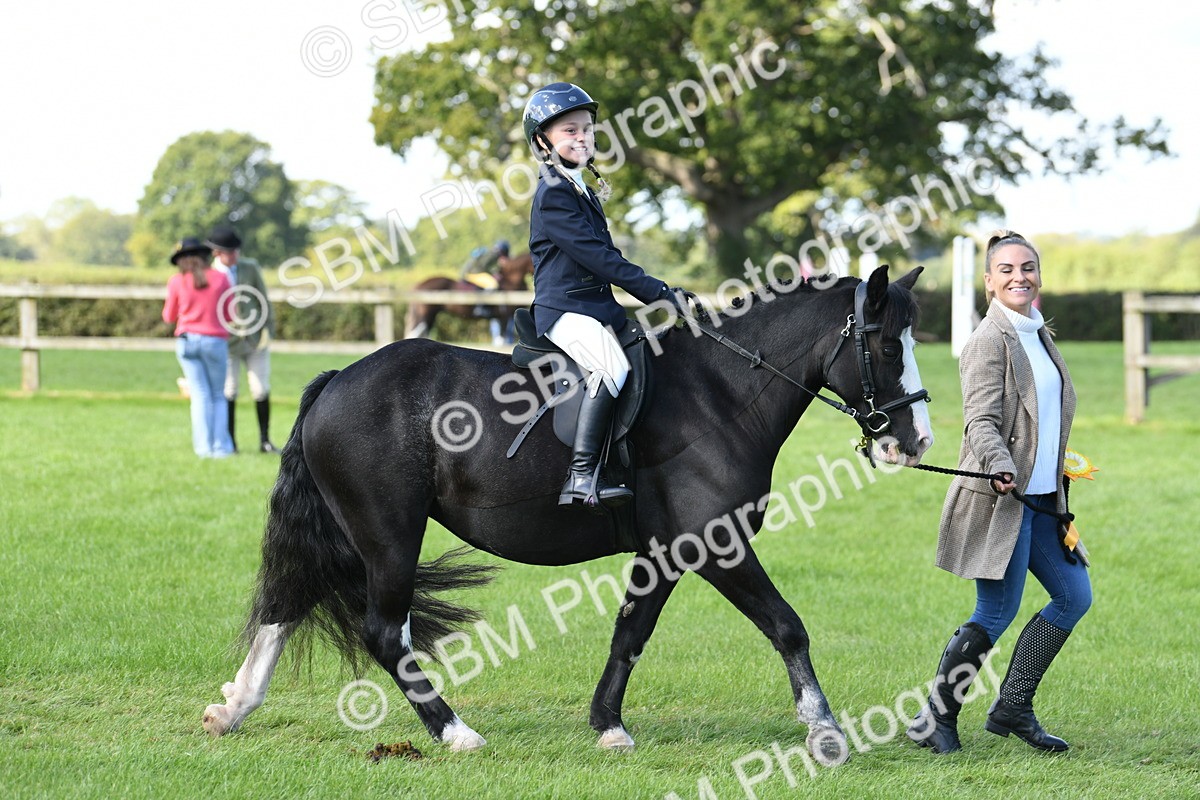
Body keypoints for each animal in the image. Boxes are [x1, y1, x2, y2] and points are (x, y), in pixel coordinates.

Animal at [202, 265, 934, 766]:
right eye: (887, 348)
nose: (917, 441)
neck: (722, 393)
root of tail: (338, 380)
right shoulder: (714, 543)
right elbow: (787, 626)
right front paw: (824, 729)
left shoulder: (666, 551)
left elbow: (630, 632)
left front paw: (607, 723)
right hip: (388, 536)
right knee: (385, 632)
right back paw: (456, 733)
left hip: (352, 535)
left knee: (288, 604)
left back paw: (234, 709)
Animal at [404, 251, 534, 343]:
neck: (510, 281)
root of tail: (418, 285)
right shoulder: (504, 317)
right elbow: (501, 339)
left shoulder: (502, 317)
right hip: (424, 316)